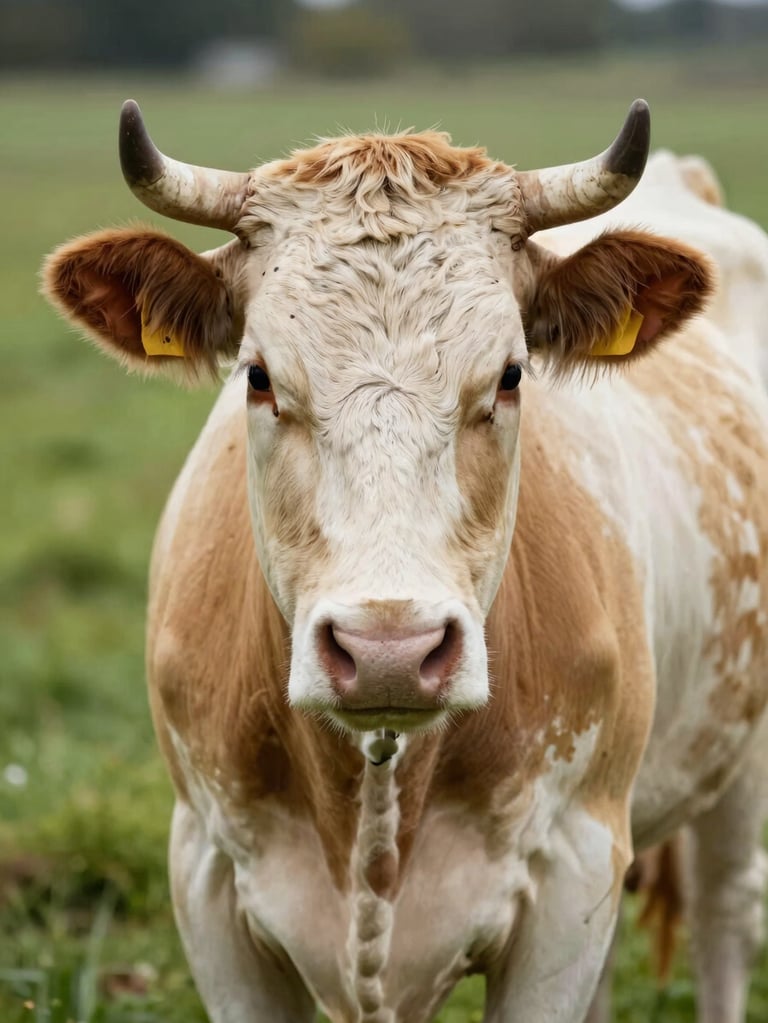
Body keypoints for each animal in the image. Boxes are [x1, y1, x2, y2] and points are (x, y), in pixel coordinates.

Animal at [43, 99, 768, 1023]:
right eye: (257, 375)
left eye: (510, 375)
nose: (389, 649)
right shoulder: (205, 879)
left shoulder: (572, 874)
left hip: (737, 762)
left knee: (724, 914)